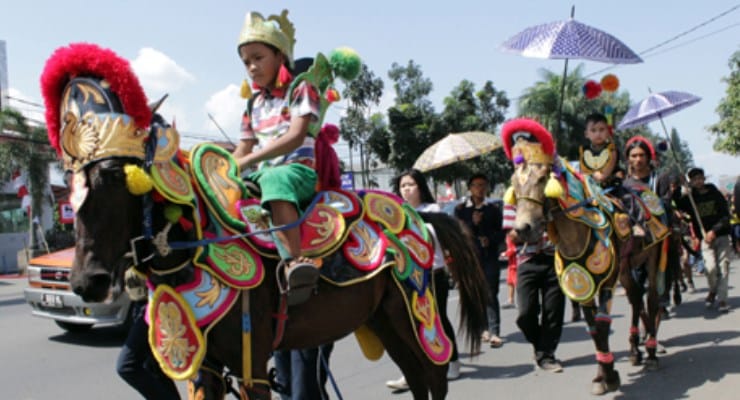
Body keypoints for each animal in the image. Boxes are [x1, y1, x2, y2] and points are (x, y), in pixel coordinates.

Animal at [43, 42, 488, 398]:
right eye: (70, 179)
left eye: (114, 175)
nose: (86, 281)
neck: (196, 248)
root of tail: (418, 215)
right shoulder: (206, 366)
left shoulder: (251, 364)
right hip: (382, 319)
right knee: (415, 376)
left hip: (412, 309)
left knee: (432, 374)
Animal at [500, 118, 668, 394]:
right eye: (514, 182)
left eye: (543, 177)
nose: (522, 229)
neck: (576, 234)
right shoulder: (584, 284)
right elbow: (593, 329)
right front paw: (602, 377)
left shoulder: (606, 282)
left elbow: (602, 324)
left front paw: (610, 375)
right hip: (626, 266)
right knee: (635, 298)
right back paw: (635, 349)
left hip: (654, 255)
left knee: (652, 298)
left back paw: (652, 352)